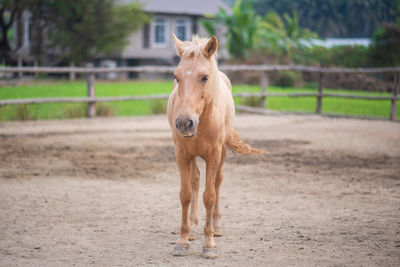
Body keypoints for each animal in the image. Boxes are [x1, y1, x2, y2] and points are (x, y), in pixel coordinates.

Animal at [166, 33, 264, 260]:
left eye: (204, 77)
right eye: (176, 77)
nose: (184, 123)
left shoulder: (213, 154)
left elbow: (209, 196)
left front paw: (209, 244)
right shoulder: (181, 154)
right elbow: (186, 194)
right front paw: (182, 241)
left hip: (222, 154)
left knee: (218, 182)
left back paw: (217, 227)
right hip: (192, 156)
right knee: (195, 181)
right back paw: (193, 229)